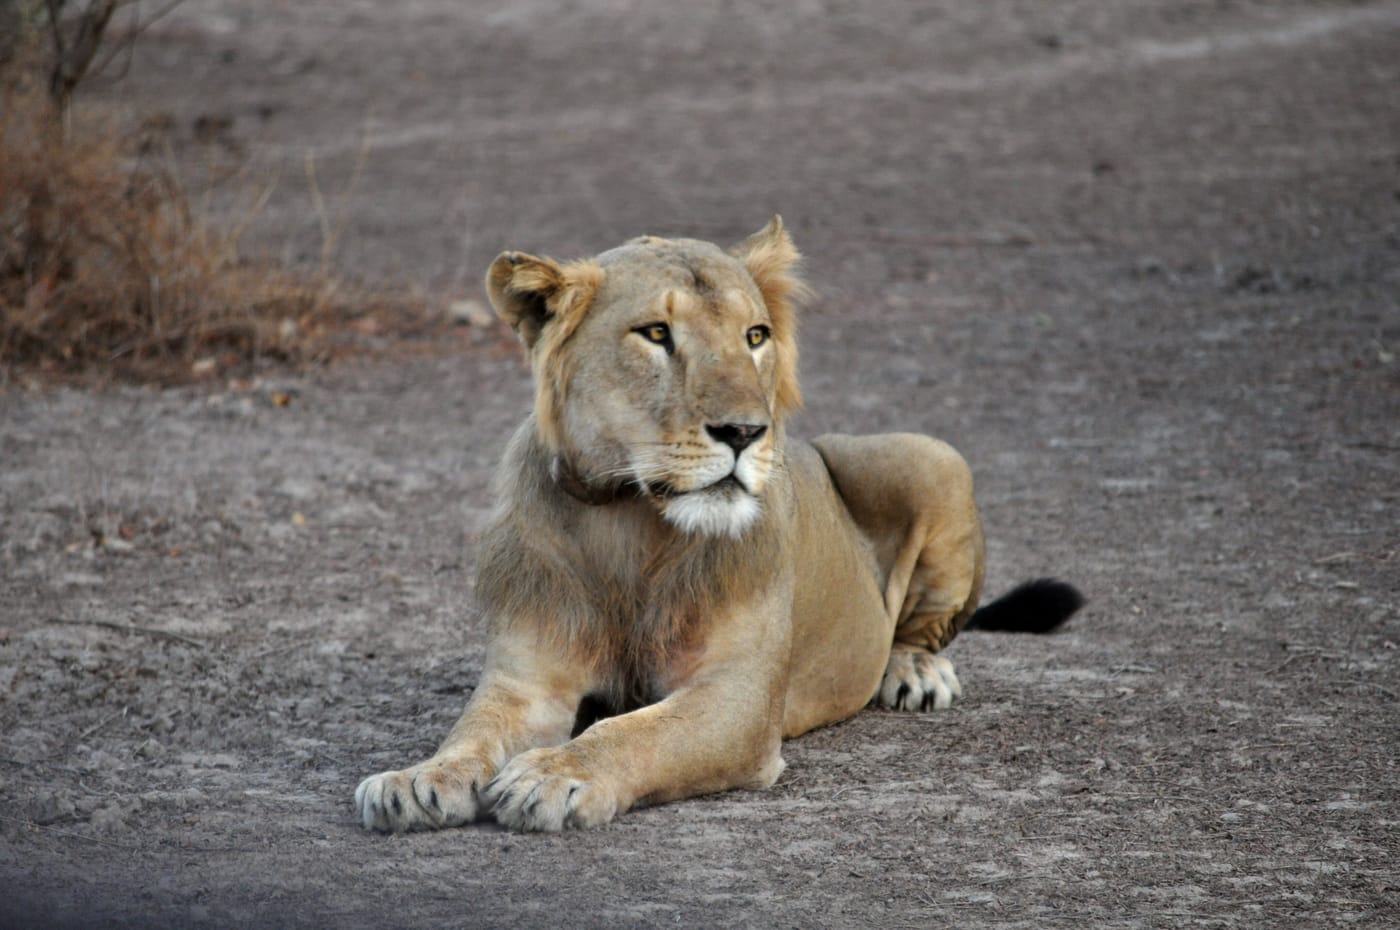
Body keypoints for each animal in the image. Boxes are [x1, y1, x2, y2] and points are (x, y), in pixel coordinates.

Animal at [354, 217, 1082, 833]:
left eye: (754, 337)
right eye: (656, 333)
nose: (744, 432)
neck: (630, 521)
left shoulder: (740, 698)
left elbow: (632, 731)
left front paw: (553, 774)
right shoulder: (527, 681)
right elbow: (473, 730)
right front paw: (417, 779)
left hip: (932, 456)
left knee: (919, 625)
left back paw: (916, 672)